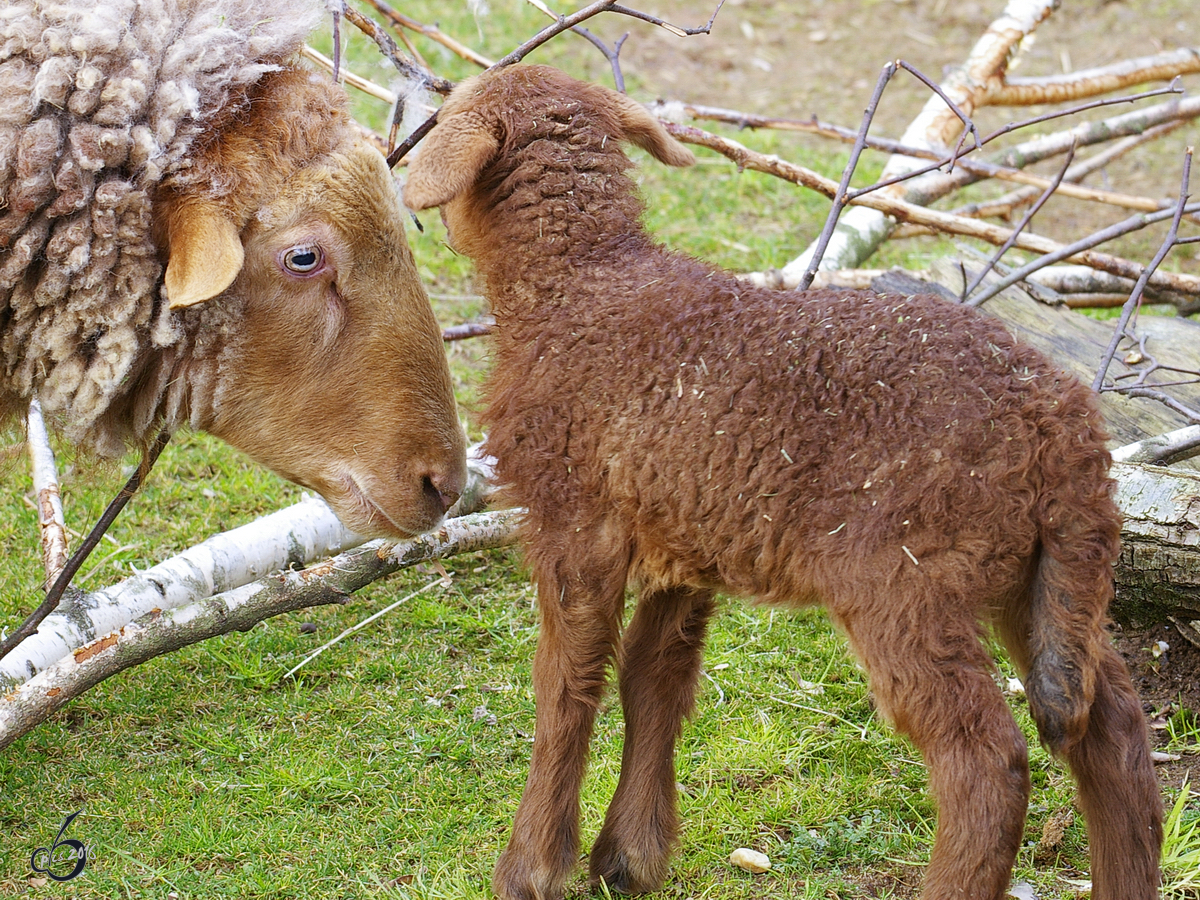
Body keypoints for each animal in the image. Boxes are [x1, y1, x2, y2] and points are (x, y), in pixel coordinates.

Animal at [403, 65, 1161, 900]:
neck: (582, 282)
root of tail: (1065, 431)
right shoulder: (684, 531)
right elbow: (654, 679)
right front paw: (631, 856)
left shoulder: (574, 518)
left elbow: (566, 686)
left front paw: (531, 867)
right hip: (1034, 575)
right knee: (1112, 729)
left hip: (905, 576)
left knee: (987, 762)